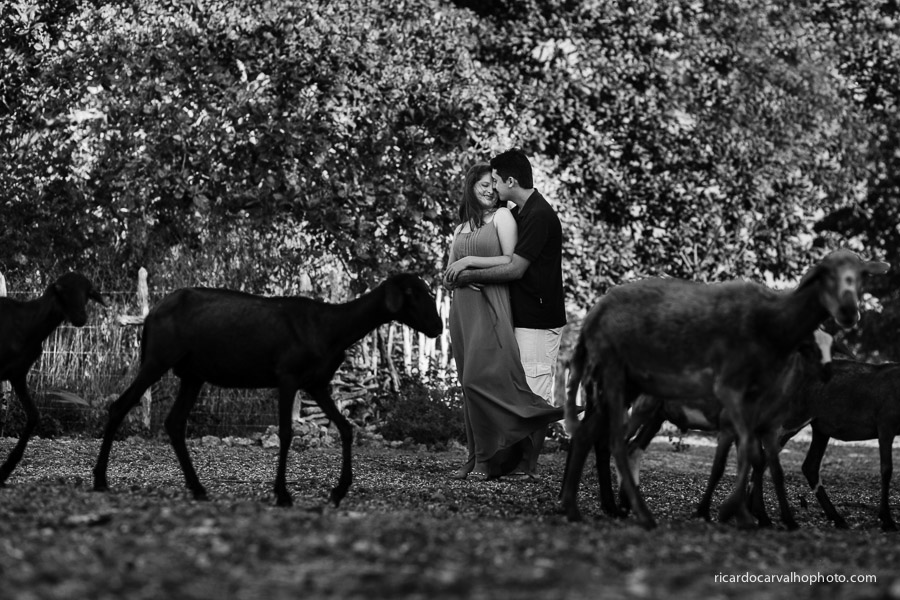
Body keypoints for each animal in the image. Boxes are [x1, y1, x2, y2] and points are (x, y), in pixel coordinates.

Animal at [0, 273, 105, 484]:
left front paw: (5, 470)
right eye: (61, 291)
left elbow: (34, 415)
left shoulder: (17, 374)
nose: (80, 318)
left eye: (87, 292)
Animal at [92, 273, 443, 507]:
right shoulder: (287, 376)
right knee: (120, 406)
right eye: (411, 292)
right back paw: (100, 480)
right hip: (157, 358)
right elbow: (286, 432)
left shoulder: (316, 383)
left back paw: (198, 488)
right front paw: (283, 493)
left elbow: (345, 428)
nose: (438, 327)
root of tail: (150, 315)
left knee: (174, 422)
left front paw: (338, 491)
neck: (333, 328)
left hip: (192, 374)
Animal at [560, 249, 888, 529]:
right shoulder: (732, 397)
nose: (849, 312)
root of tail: (594, 312)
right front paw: (734, 513)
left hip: (631, 391)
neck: (772, 323)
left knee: (594, 437)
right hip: (616, 376)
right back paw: (628, 510)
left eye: (862, 276)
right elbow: (745, 459)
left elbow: (762, 462)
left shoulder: (760, 416)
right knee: (612, 442)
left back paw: (583, 508)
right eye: (823, 274)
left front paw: (756, 515)